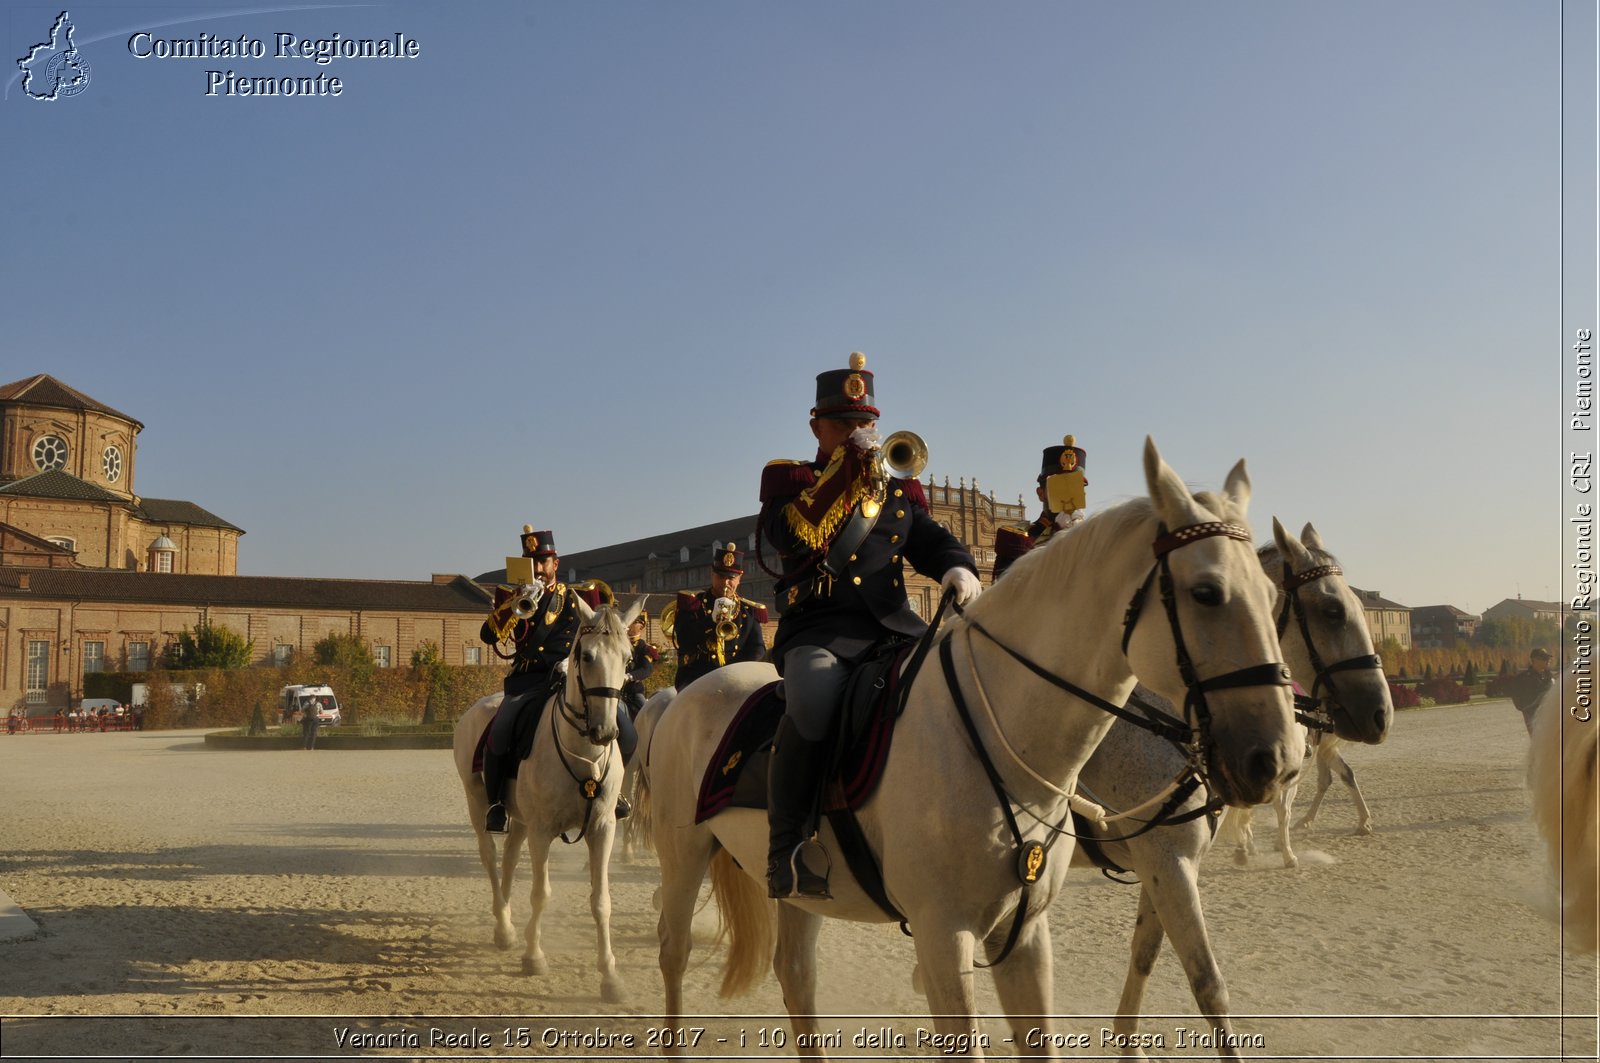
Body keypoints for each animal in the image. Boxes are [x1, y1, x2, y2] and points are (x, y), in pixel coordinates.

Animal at [451, 598, 636, 1005]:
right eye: (587, 655)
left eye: (628, 658)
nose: (606, 731)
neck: (583, 754)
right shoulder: (542, 831)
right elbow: (541, 894)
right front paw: (534, 957)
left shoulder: (603, 829)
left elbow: (601, 901)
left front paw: (610, 976)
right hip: (478, 804)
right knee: (490, 857)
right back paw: (505, 926)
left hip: (519, 818)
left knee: (508, 860)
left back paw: (504, 922)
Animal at [636, 435, 1299, 1050]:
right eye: (1206, 591)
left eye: (1272, 600)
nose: (1278, 759)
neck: (1007, 737)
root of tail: (683, 694)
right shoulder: (945, 932)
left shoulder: (1030, 930)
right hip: (683, 848)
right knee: (672, 950)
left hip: (798, 893)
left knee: (796, 976)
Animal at [1075, 515, 1388, 1056]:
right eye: (1331, 610)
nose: (1381, 712)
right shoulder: (1170, 862)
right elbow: (1207, 984)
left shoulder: (1163, 864)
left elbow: (1145, 955)